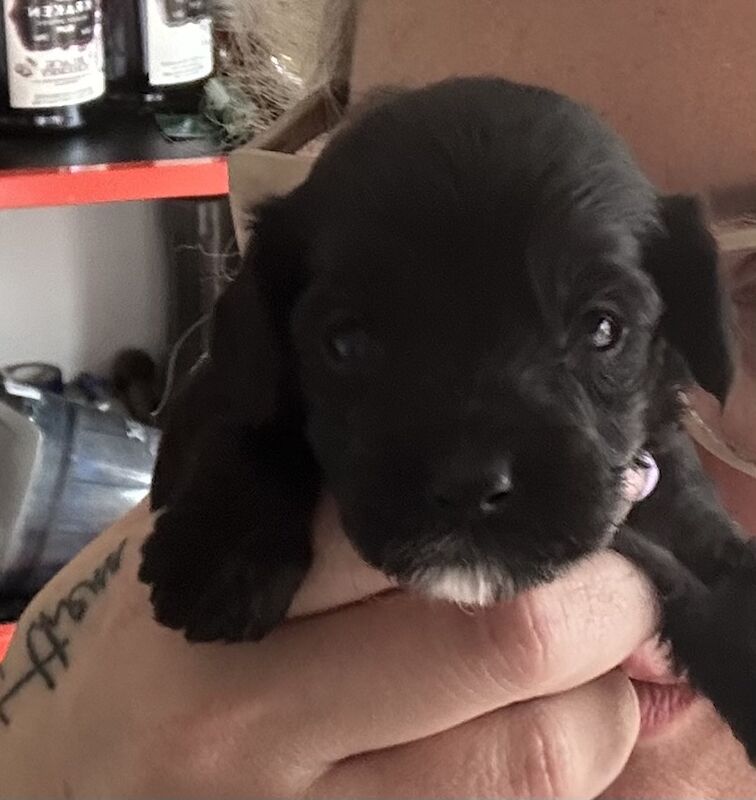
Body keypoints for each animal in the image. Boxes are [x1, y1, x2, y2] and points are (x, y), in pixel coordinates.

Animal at [139, 81, 756, 764]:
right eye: (346, 343)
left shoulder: (672, 501)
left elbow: (725, 575)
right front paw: (222, 552)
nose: (470, 482)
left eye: (603, 328)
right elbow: (253, 415)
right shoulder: (230, 381)